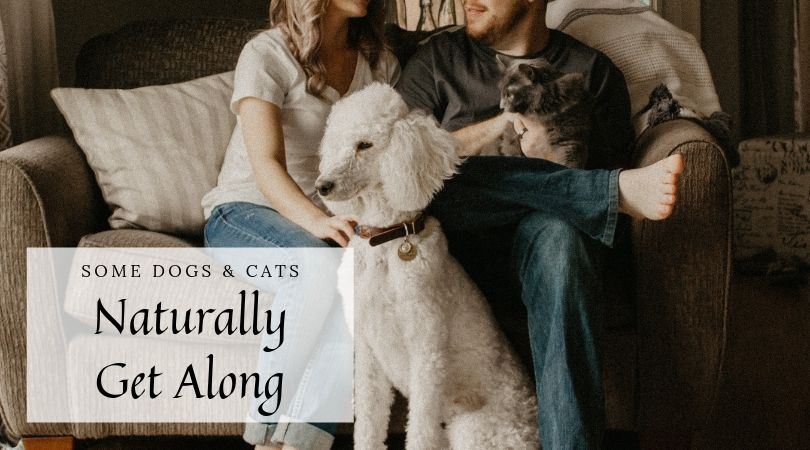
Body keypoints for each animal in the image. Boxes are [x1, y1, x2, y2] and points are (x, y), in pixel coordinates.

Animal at [316, 83, 536, 450]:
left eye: (365, 145)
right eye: (336, 142)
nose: (322, 186)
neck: (386, 244)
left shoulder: (427, 353)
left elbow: (419, 431)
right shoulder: (368, 354)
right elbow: (369, 424)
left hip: (474, 430)